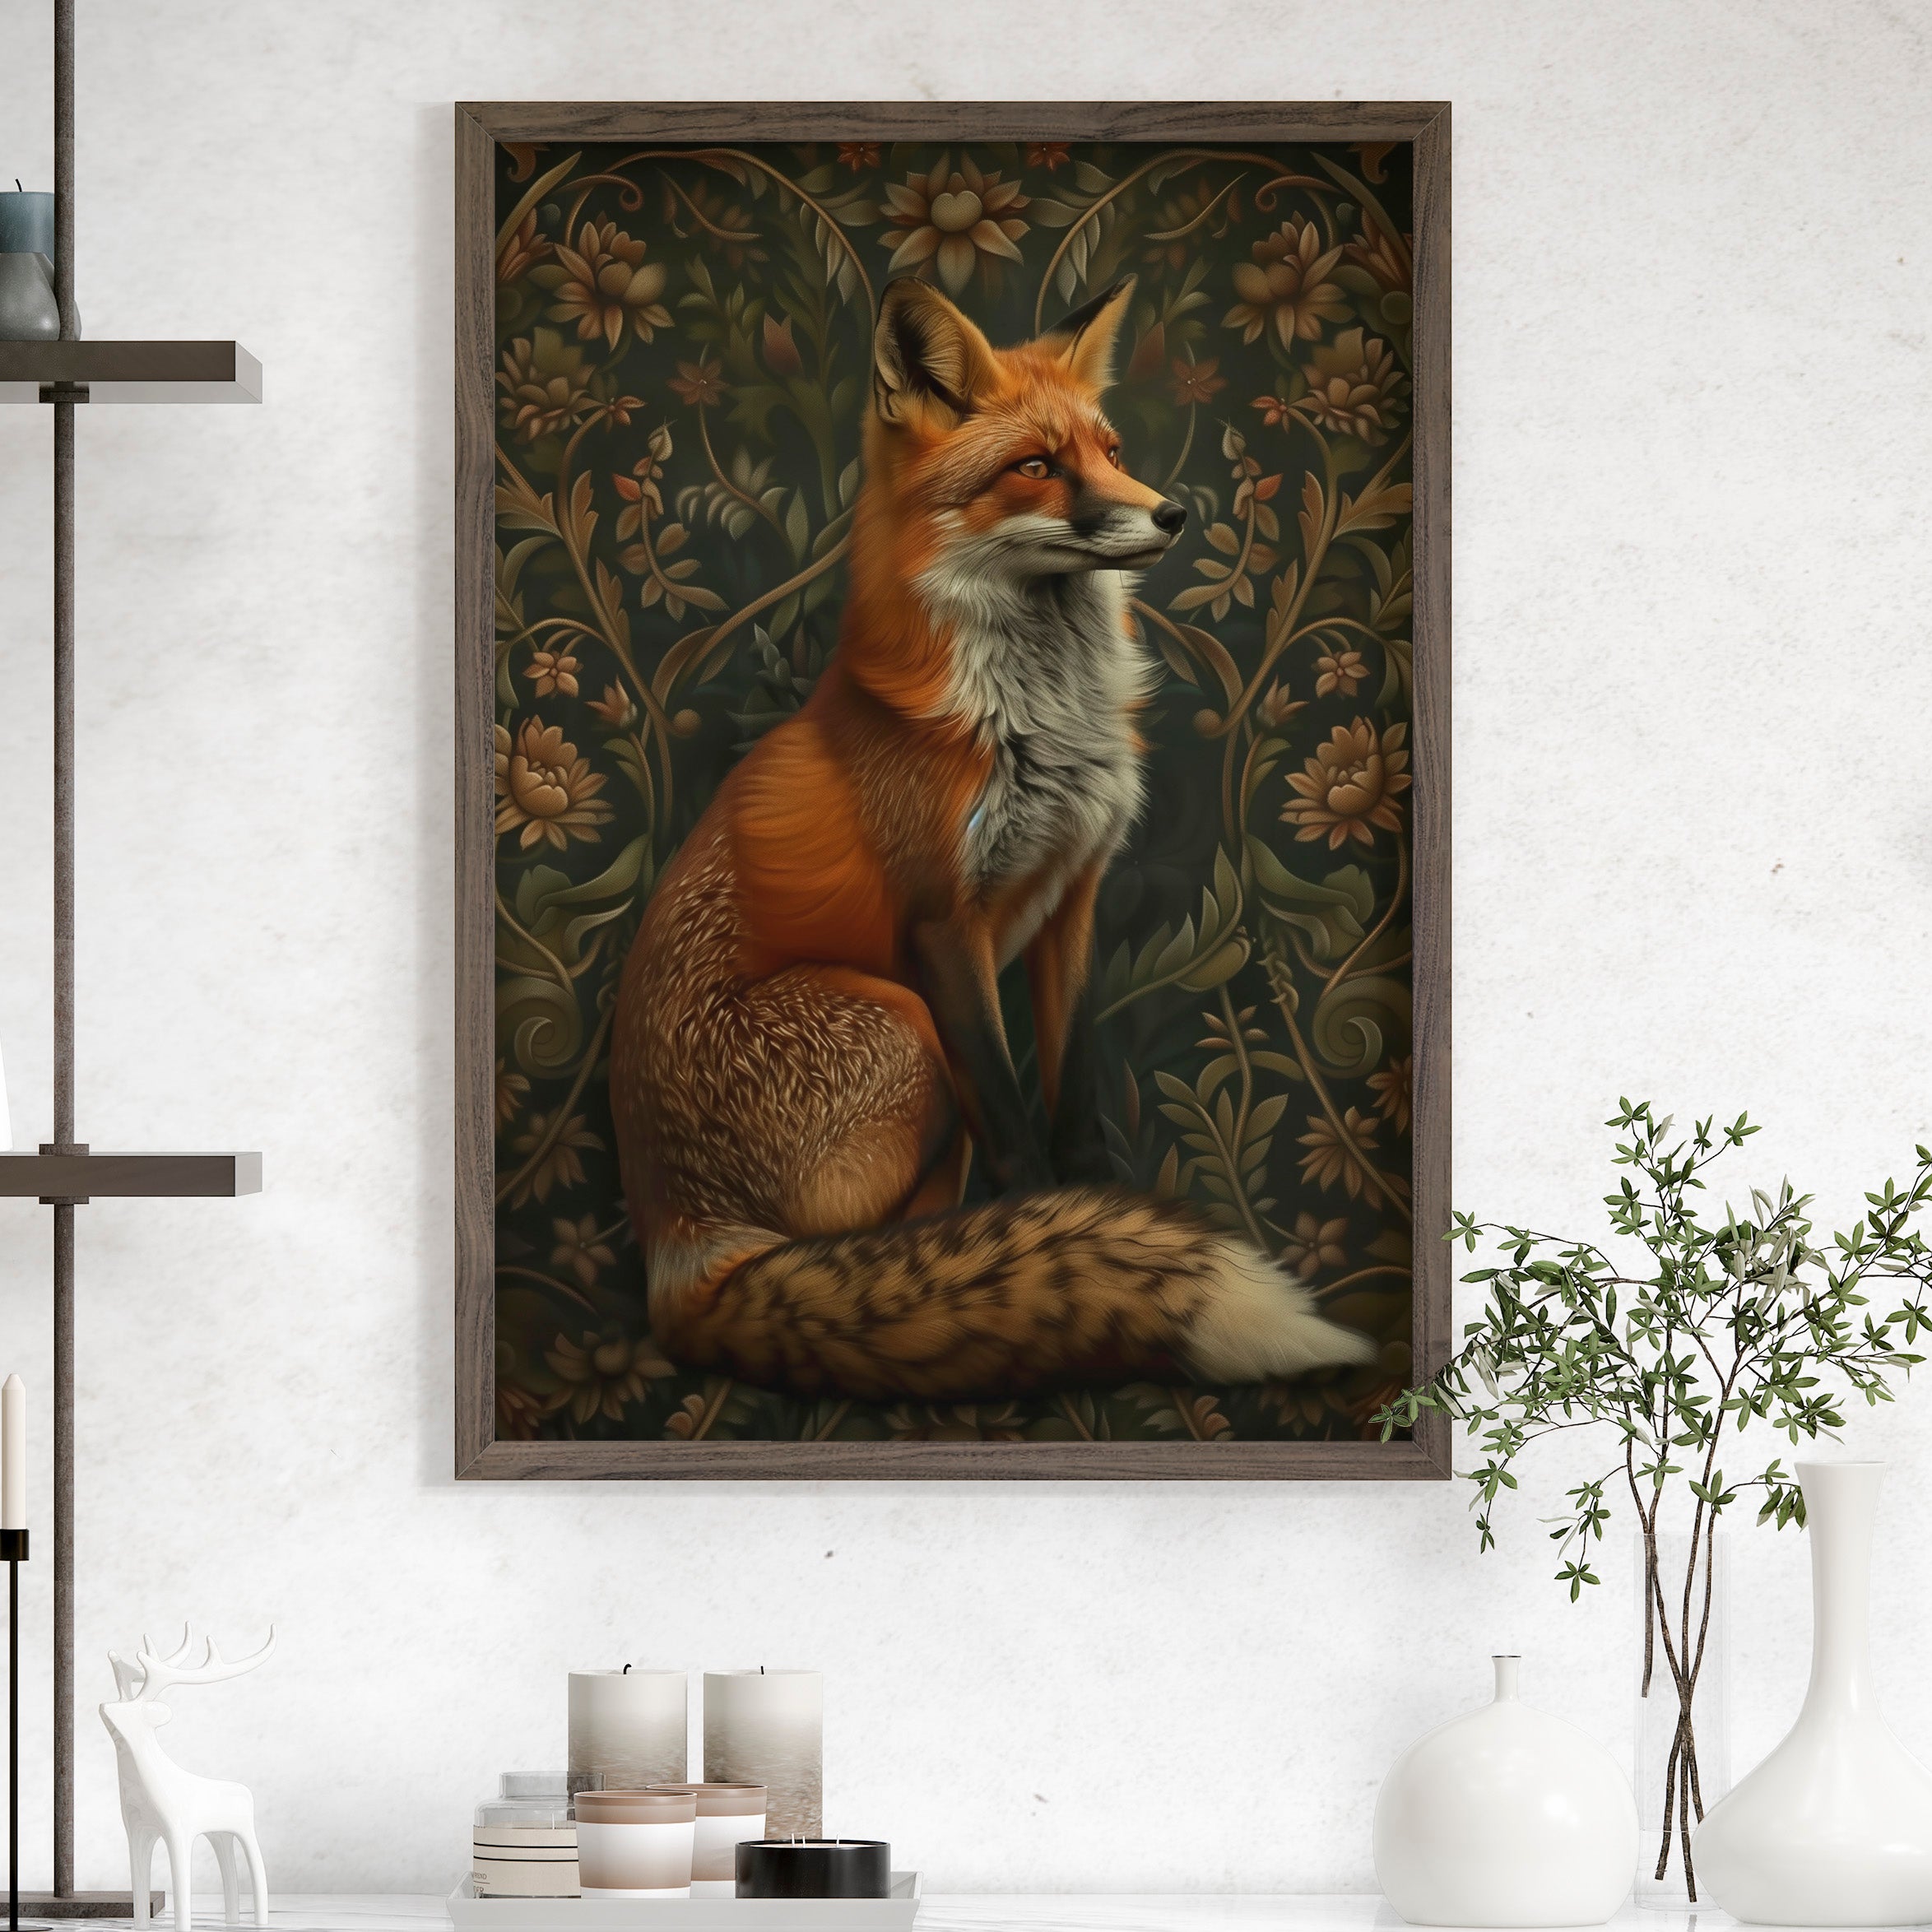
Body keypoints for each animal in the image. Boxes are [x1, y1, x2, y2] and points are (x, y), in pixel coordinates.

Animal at [608, 273, 1375, 1403]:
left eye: (1110, 446)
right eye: (1035, 467)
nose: (1173, 511)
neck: (1038, 723)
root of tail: (679, 1248)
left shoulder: (1074, 895)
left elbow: (1075, 1086)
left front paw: (1096, 1203)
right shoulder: (941, 924)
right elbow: (1014, 1127)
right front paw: (1055, 1225)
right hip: (897, 1020)